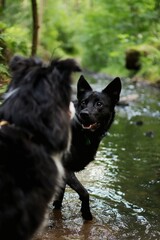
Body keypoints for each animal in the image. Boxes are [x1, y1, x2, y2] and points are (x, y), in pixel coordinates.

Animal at [53, 74, 121, 219]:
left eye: (99, 104)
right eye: (83, 102)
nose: (83, 114)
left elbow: (59, 198)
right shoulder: (65, 169)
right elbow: (84, 192)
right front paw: (87, 214)